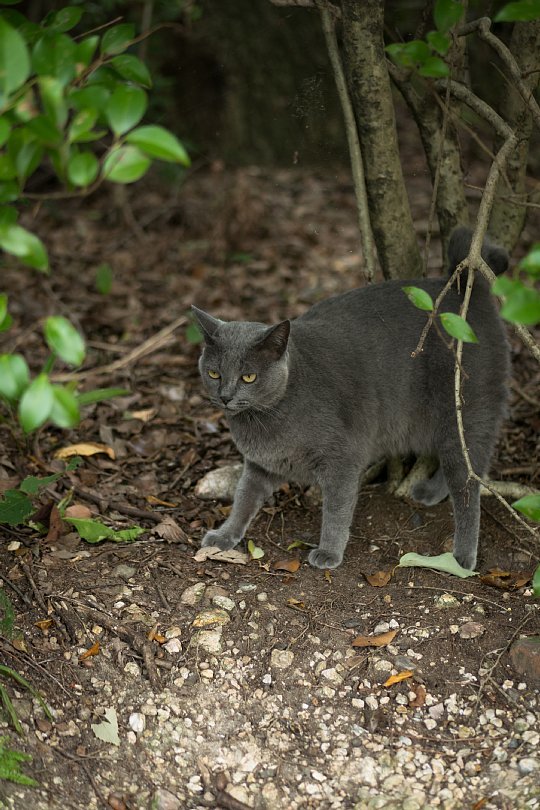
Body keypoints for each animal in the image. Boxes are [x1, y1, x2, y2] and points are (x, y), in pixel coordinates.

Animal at [194, 227, 510, 568]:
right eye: (214, 373)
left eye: (248, 377)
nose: (225, 396)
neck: (267, 417)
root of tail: (466, 291)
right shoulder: (260, 464)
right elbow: (243, 497)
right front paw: (224, 536)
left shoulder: (342, 459)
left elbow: (336, 509)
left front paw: (329, 552)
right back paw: (430, 492)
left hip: (466, 410)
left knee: (468, 482)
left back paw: (462, 557)